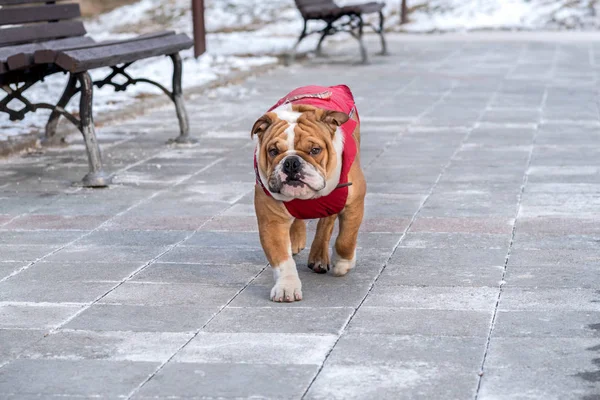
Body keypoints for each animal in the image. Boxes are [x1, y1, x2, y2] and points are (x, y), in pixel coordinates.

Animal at [250, 85, 366, 304]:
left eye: (315, 150)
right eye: (272, 151)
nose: (291, 162)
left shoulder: (354, 201)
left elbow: (346, 238)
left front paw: (343, 262)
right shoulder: (271, 219)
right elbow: (281, 258)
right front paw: (286, 287)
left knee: (327, 223)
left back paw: (319, 256)